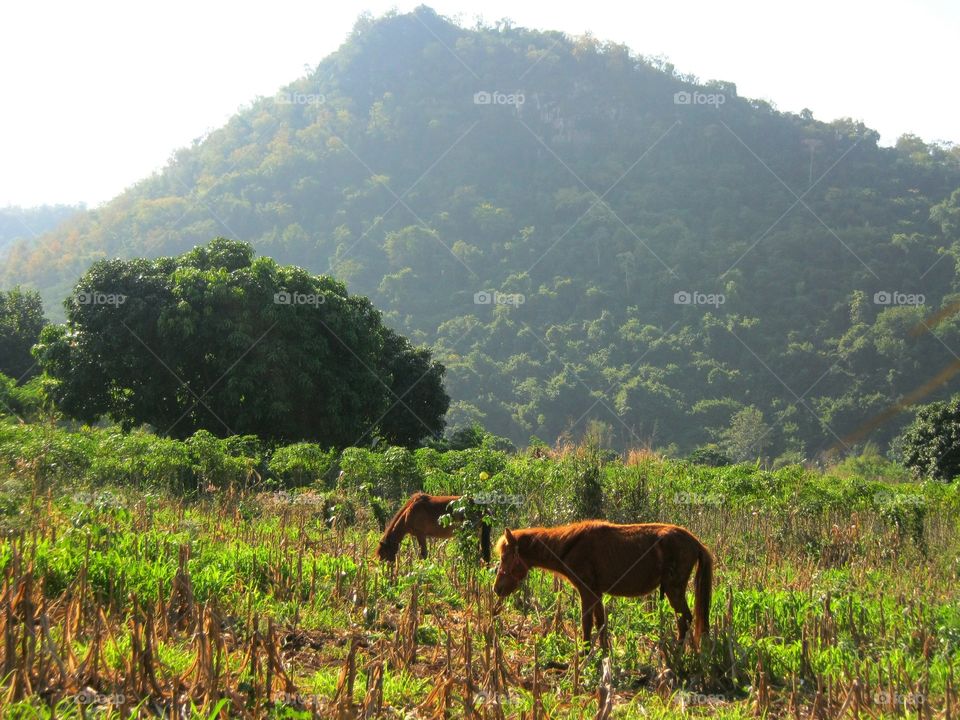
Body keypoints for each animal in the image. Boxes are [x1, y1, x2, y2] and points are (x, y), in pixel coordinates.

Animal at [493, 521, 712, 650]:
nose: (497, 589)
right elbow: (601, 624)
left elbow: (586, 623)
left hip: (675, 590)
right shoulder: (596, 593)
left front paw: (585, 654)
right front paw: (603, 655)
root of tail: (695, 543)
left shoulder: (586, 592)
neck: (570, 546)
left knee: (685, 619)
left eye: (505, 557)